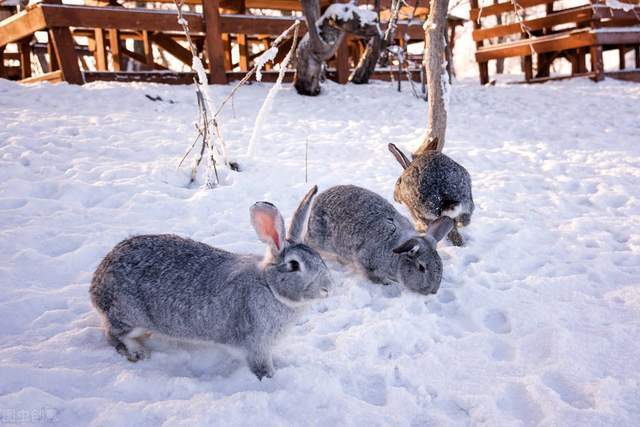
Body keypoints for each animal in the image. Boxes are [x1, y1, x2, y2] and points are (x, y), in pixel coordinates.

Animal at [91, 186, 330, 382]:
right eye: (294, 265)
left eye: (319, 258)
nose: (328, 287)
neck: (269, 287)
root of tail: (97, 283)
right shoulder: (256, 346)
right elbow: (261, 368)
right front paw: (271, 378)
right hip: (128, 315)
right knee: (113, 334)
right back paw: (138, 352)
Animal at [304, 186, 450, 296]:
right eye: (421, 267)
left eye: (440, 266)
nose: (433, 291)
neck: (396, 257)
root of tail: (318, 200)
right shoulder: (366, 262)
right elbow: (373, 277)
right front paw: (387, 283)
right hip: (320, 240)